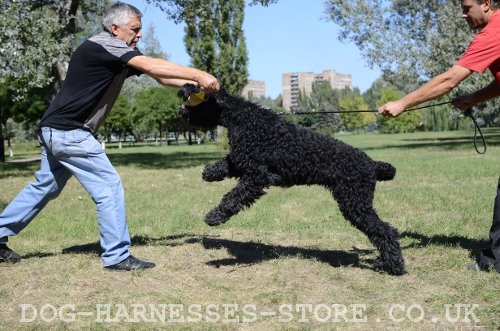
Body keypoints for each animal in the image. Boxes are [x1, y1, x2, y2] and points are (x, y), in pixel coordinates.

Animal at [178, 84, 404, 276]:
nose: (183, 90)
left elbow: (233, 197)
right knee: (386, 230)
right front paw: (210, 173)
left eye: (197, 93)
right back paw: (385, 261)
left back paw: (395, 266)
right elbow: (226, 164)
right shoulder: (243, 162)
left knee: (384, 231)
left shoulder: (258, 175)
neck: (242, 118)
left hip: (355, 203)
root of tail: (372, 163)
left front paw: (215, 216)